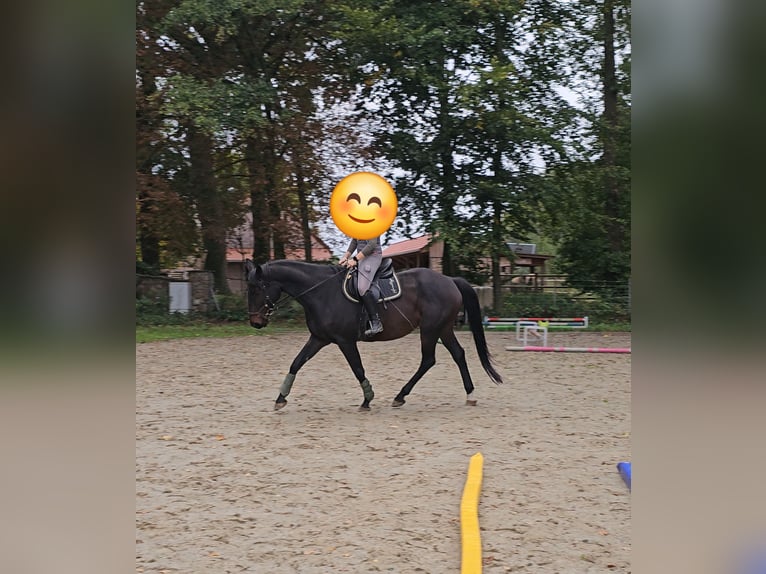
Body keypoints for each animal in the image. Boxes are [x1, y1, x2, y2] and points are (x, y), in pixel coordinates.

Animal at [244, 259, 503, 411]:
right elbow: (296, 363)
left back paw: (400, 396)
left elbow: (358, 368)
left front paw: (367, 399)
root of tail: (449, 280)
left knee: (428, 360)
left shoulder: (345, 341)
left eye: (256, 289)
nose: (255, 322)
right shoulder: (319, 339)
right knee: (458, 354)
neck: (322, 292)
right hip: (444, 328)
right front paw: (280, 398)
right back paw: (470, 395)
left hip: (430, 329)